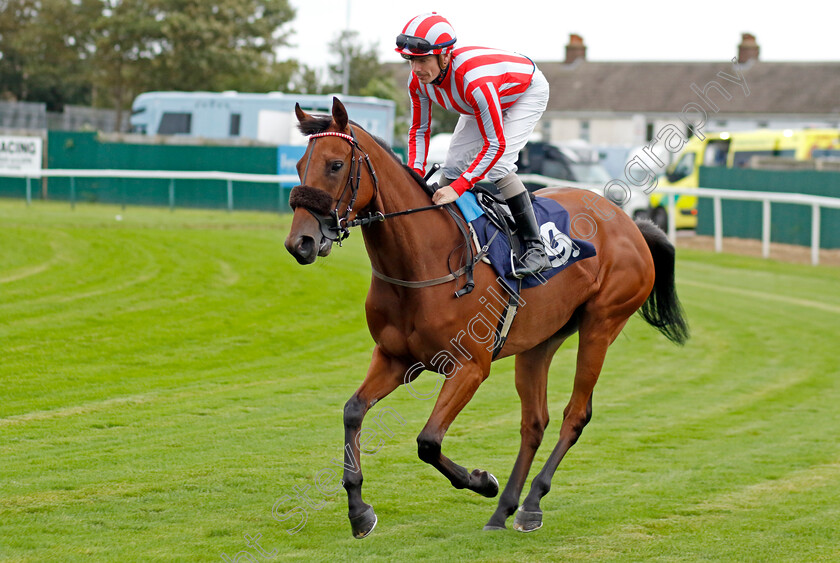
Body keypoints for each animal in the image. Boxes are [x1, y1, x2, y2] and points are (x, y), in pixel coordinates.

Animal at [284, 99, 688, 540]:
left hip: (601, 325)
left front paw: (482, 481)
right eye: (300, 164)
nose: (300, 242)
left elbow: (428, 441)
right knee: (534, 422)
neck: (421, 263)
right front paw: (359, 510)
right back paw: (504, 509)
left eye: (336, 164)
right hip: (540, 341)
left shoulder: (469, 367)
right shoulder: (394, 359)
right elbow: (353, 411)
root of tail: (633, 224)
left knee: (575, 415)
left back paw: (530, 504)